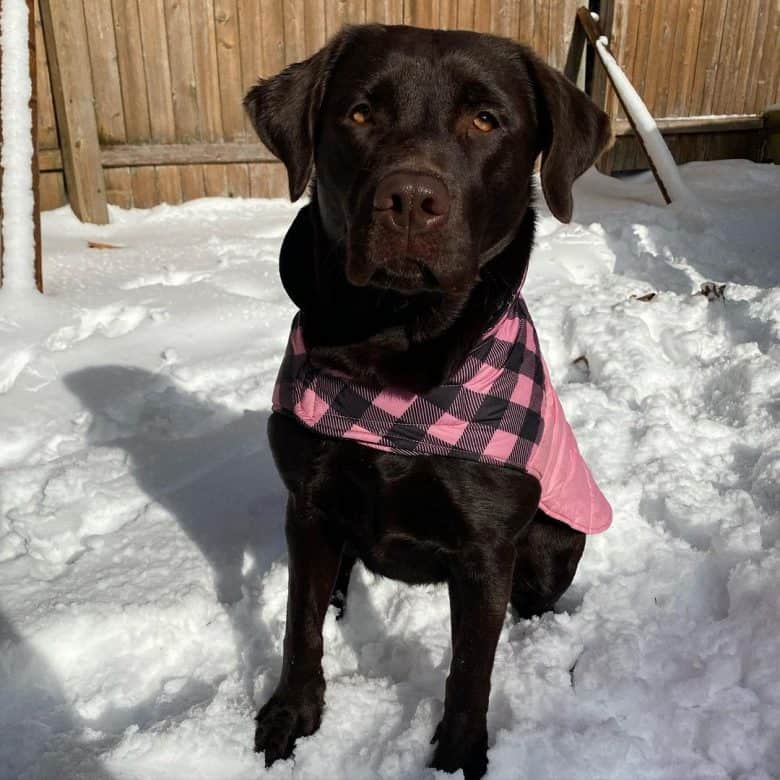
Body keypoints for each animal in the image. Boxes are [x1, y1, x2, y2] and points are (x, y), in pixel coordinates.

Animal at [247, 24, 612, 780]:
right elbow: (299, 627)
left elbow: (470, 671)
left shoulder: (485, 545)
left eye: (486, 119)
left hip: (556, 537)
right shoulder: (308, 501)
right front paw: (291, 715)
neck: (392, 351)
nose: (410, 199)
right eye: (360, 113)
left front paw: (457, 757)